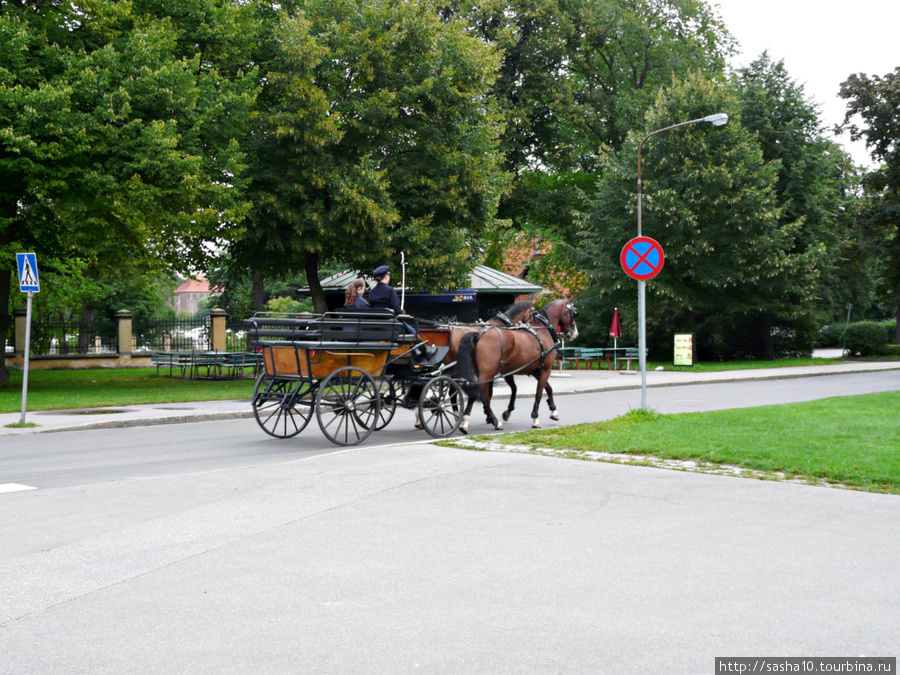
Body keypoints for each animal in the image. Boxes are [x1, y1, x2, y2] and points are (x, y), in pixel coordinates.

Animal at [458, 300, 576, 434]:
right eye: (574, 313)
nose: (574, 333)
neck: (542, 331)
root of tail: (479, 335)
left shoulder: (536, 371)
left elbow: (548, 389)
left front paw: (553, 410)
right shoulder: (545, 370)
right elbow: (539, 393)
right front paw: (535, 418)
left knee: (474, 394)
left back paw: (465, 421)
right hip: (487, 374)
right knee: (483, 396)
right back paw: (495, 421)